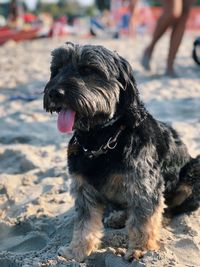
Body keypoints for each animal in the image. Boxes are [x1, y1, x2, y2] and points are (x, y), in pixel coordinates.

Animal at [43, 43, 200, 262]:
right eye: (56, 70)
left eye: (88, 70)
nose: (54, 93)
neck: (100, 140)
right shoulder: (84, 188)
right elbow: (84, 225)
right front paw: (77, 250)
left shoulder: (144, 186)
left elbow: (144, 220)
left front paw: (141, 249)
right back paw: (118, 216)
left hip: (194, 172)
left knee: (172, 207)